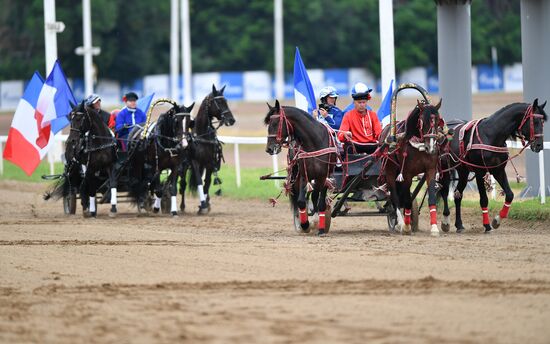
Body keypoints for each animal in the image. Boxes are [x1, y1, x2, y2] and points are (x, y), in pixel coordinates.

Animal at [179, 84, 235, 214]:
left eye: (226, 101)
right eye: (218, 102)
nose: (231, 120)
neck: (202, 136)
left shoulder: (209, 162)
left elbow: (207, 182)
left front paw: (204, 204)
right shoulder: (194, 162)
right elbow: (199, 181)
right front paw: (203, 204)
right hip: (184, 166)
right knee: (183, 184)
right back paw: (182, 206)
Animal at [266, 99, 338, 234]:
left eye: (276, 123)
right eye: (268, 124)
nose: (269, 148)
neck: (315, 142)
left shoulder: (324, 176)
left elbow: (319, 201)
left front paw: (320, 226)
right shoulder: (304, 175)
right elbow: (301, 201)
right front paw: (305, 224)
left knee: (314, 196)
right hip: (295, 175)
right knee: (299, 197)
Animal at [382, 98, 446, 235]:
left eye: (438, 120)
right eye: (422, 121)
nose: (430, 147)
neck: (419, 147)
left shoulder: (430, 170)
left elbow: (431, 198)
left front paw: (434, 227)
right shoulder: (407, 174)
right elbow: (406, 200)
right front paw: (406, 227)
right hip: (390, 172)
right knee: (395, 197)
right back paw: (400, 222)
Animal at [440, 99, 548, 234]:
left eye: (543, 122)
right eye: (535, 121)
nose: (539, 145)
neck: (491, 135)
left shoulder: (499, 171)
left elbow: (510, 195)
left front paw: (497, 220)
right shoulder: (480, 172)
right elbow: (484, 199)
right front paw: (487, 225)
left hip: (463, 171)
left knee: (457, 195)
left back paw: (459, 225)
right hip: (444, 168)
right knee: (444, 192)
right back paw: (445, 221)